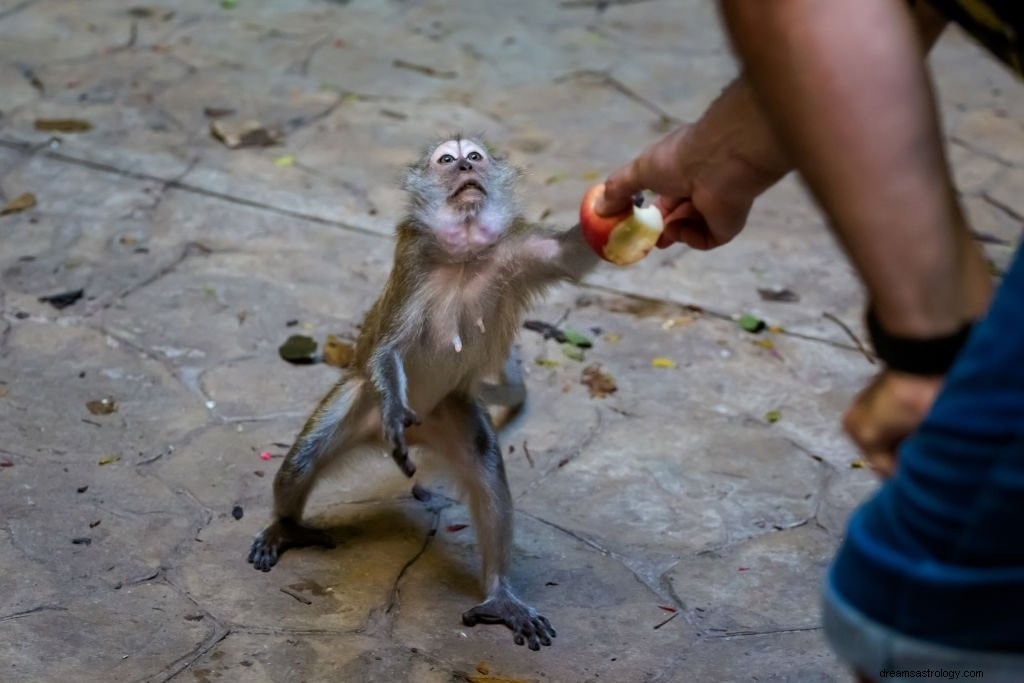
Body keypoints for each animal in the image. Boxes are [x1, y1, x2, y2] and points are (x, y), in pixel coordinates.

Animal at [247, 135, 598, 651]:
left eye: (475, 157)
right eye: (448, 160)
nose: (466, 169)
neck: (464, 253)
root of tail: (422, 430)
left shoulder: (517, 249)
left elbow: (571, 256)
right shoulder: (413, 262)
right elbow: (389, 346)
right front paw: (395, 411)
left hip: (450, 408)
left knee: (485, 468)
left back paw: (500, 595)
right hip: (361, 396)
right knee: (302, 460)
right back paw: (287, 526)